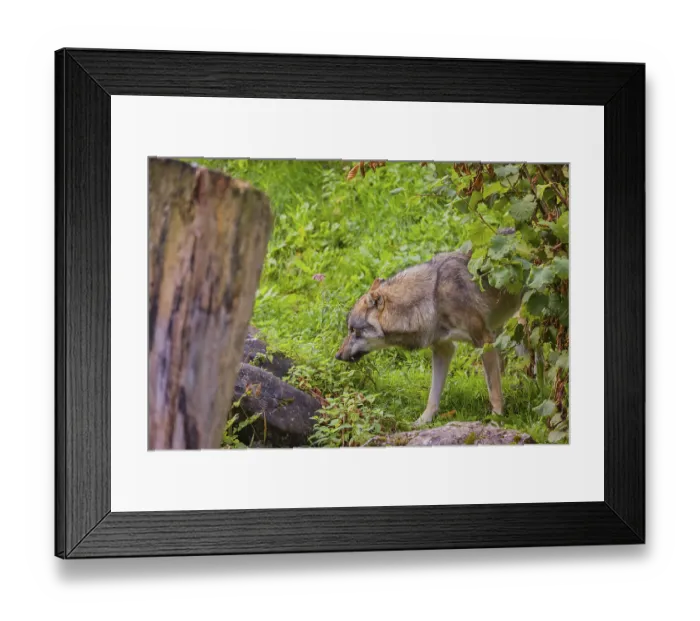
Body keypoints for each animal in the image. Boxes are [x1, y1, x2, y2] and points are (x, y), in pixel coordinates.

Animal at [335, 248, 523, 426]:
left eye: (353, 330)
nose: (337, 355)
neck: (432, 298)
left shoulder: (483, 341)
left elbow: (494, 390)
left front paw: (497, 419)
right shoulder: (443, 349)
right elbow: (433, 394)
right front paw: (422, 421)